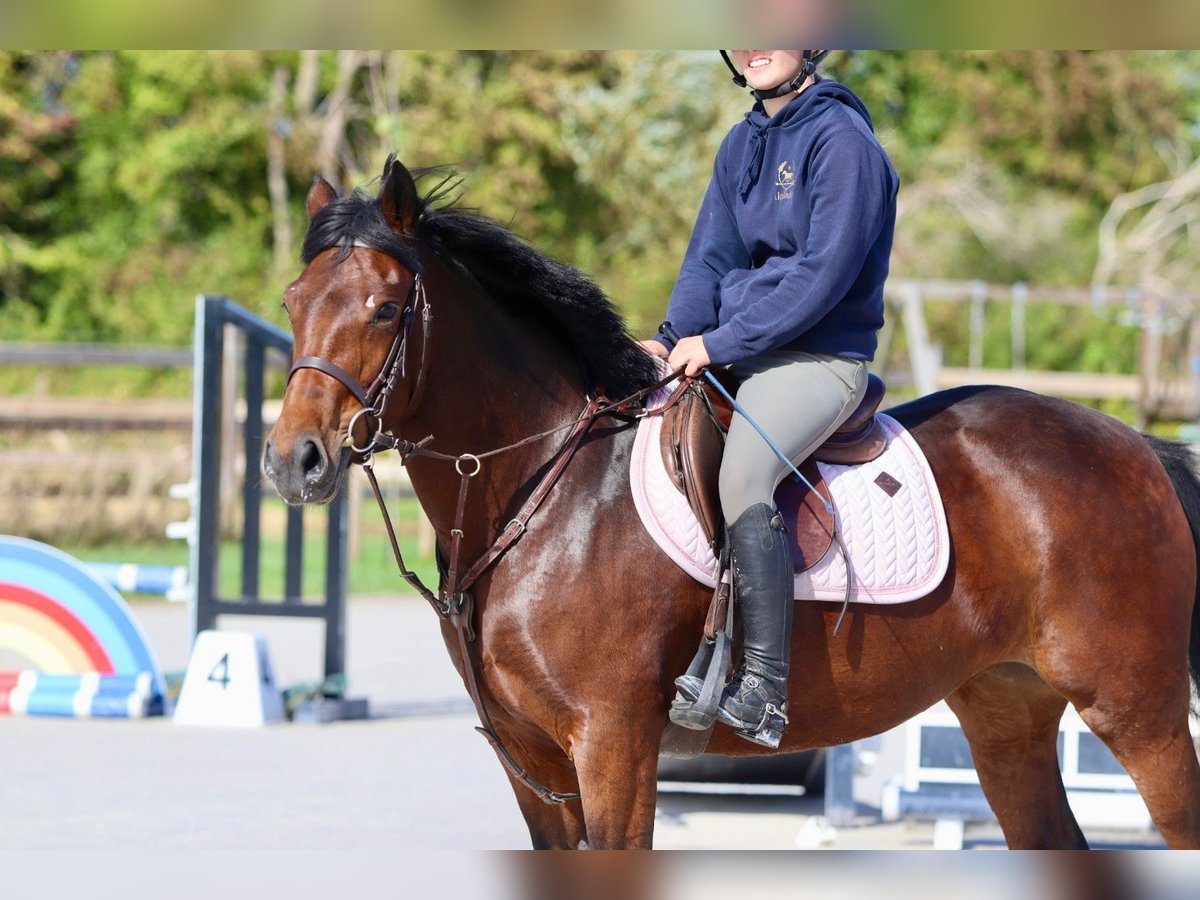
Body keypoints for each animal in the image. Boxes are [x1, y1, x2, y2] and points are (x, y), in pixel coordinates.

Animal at [263, 157, 1200, 849]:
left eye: (386, 307)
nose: (292, 462)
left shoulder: (613, 746)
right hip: (1007, 711)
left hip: (1138, 712)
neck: (548, 487)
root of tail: (1136, 446)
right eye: (292, 303)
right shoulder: (534, 769)